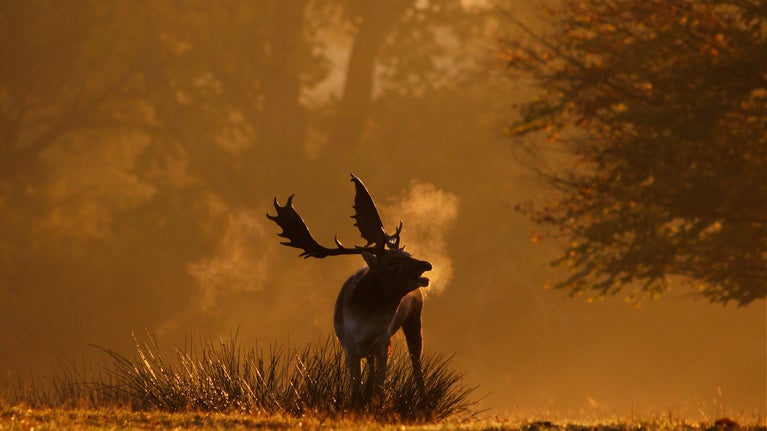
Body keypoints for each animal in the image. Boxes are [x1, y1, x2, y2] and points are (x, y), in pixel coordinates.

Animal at [266, 174, 432, 403]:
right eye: (391, 262)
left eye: (407, 255)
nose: (426, 264)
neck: (364, 322)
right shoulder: (349, 346)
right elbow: (356, 387)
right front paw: (358, 402)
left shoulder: (382, 342)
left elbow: (380, 385)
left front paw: (376, 403)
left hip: (414, 318)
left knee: (416, 362)